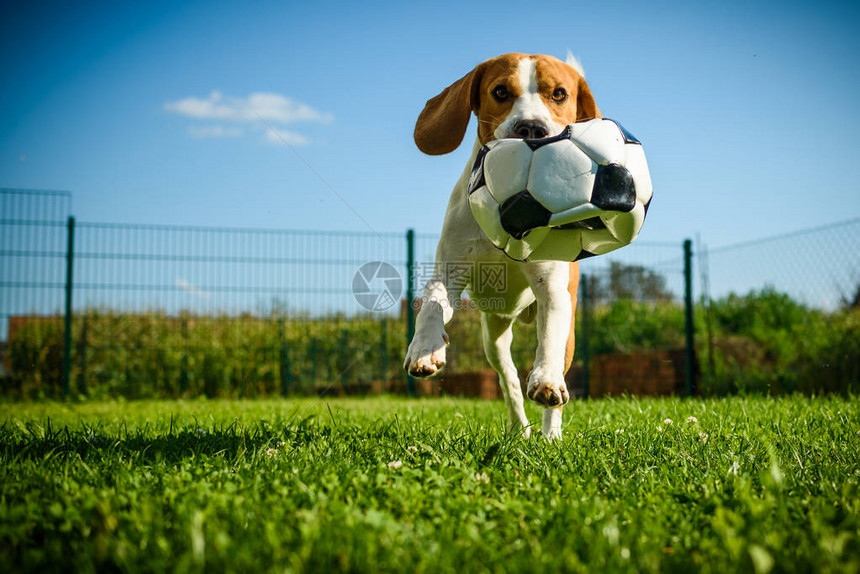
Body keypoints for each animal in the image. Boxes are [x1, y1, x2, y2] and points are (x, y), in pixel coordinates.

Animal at [404, 54, 600, 440]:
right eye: (500, 92)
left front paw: (546, 381)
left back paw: (550, 434)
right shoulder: (450, 272)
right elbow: (432, 306)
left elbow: (549, 338)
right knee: (507, 378)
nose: (531, 128)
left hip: (567, 330)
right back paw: (519, 428)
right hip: (493, 335)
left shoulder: (552, 288)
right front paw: (424, 349)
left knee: (554, 378)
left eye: (559, 93)